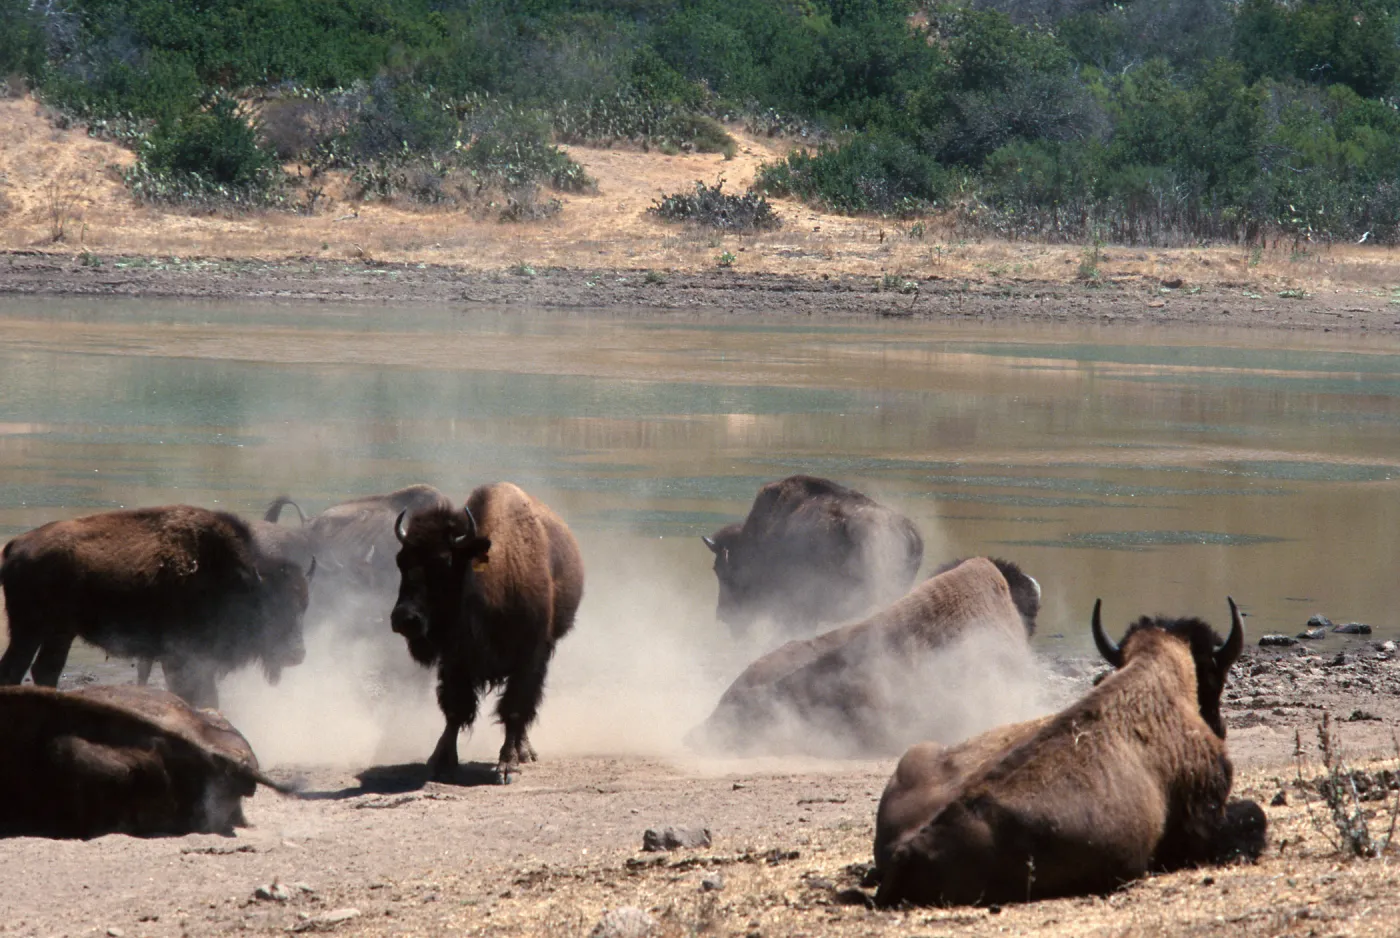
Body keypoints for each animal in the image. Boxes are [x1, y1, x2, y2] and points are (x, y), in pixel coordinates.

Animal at [0, 505, 314, 708]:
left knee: (40, 669)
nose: (297, 654)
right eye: (272, 609)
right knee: (20, 668)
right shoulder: (183, 657)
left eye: (303, 608)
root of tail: (16, 545)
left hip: (57, 633)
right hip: (32, 629)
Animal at [390, 483, 584, 781]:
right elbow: (455, 709)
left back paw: (524, 753)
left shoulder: (529, 656)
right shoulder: (455, 661)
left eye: (444, 562)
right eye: (401, 561)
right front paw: (439, 760)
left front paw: (506, 766)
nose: (404, 618)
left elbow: (514, 709)